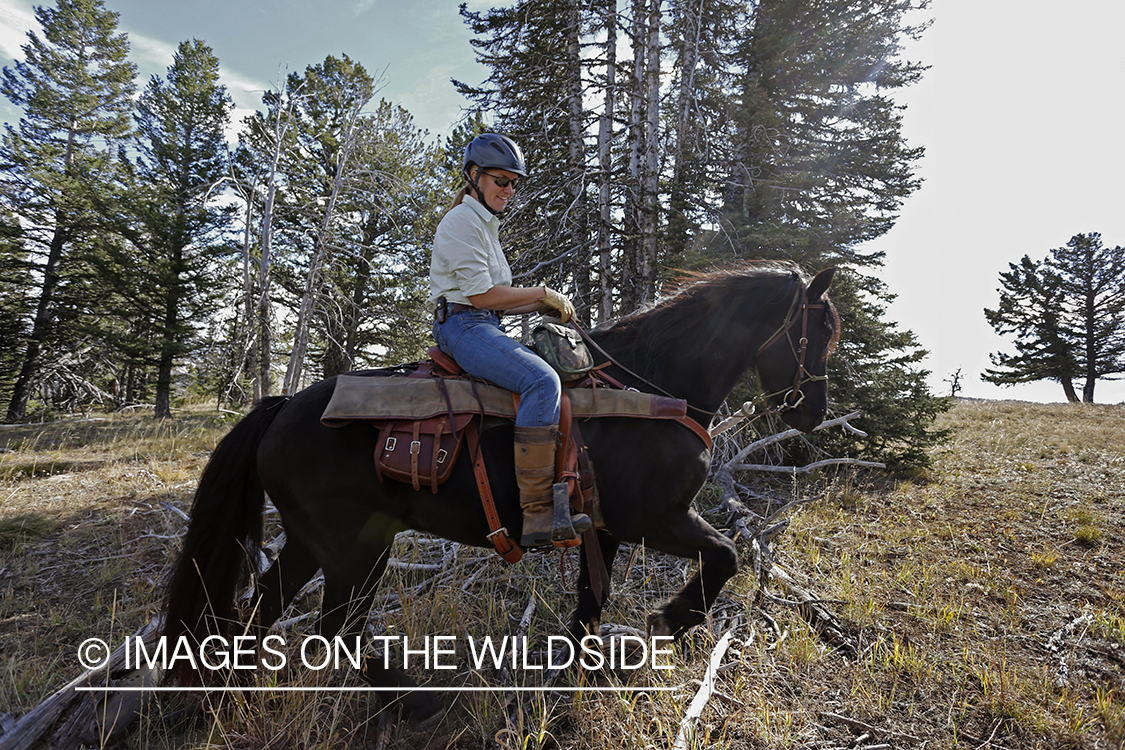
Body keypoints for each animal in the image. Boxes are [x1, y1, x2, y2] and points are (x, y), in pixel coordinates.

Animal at [163, 263, 841, 710]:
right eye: (824, 332)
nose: (813, 412)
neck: (650, 387)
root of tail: (280, 408)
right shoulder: (656, 517)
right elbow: (724, 554)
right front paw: (666, 620)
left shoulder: (605, 528)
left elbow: (590, 604)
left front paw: (583, 671)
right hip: (356, 548)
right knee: (337, 630)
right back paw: (418, 700)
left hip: (313, 544)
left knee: (263, 616)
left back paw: (234, 698)